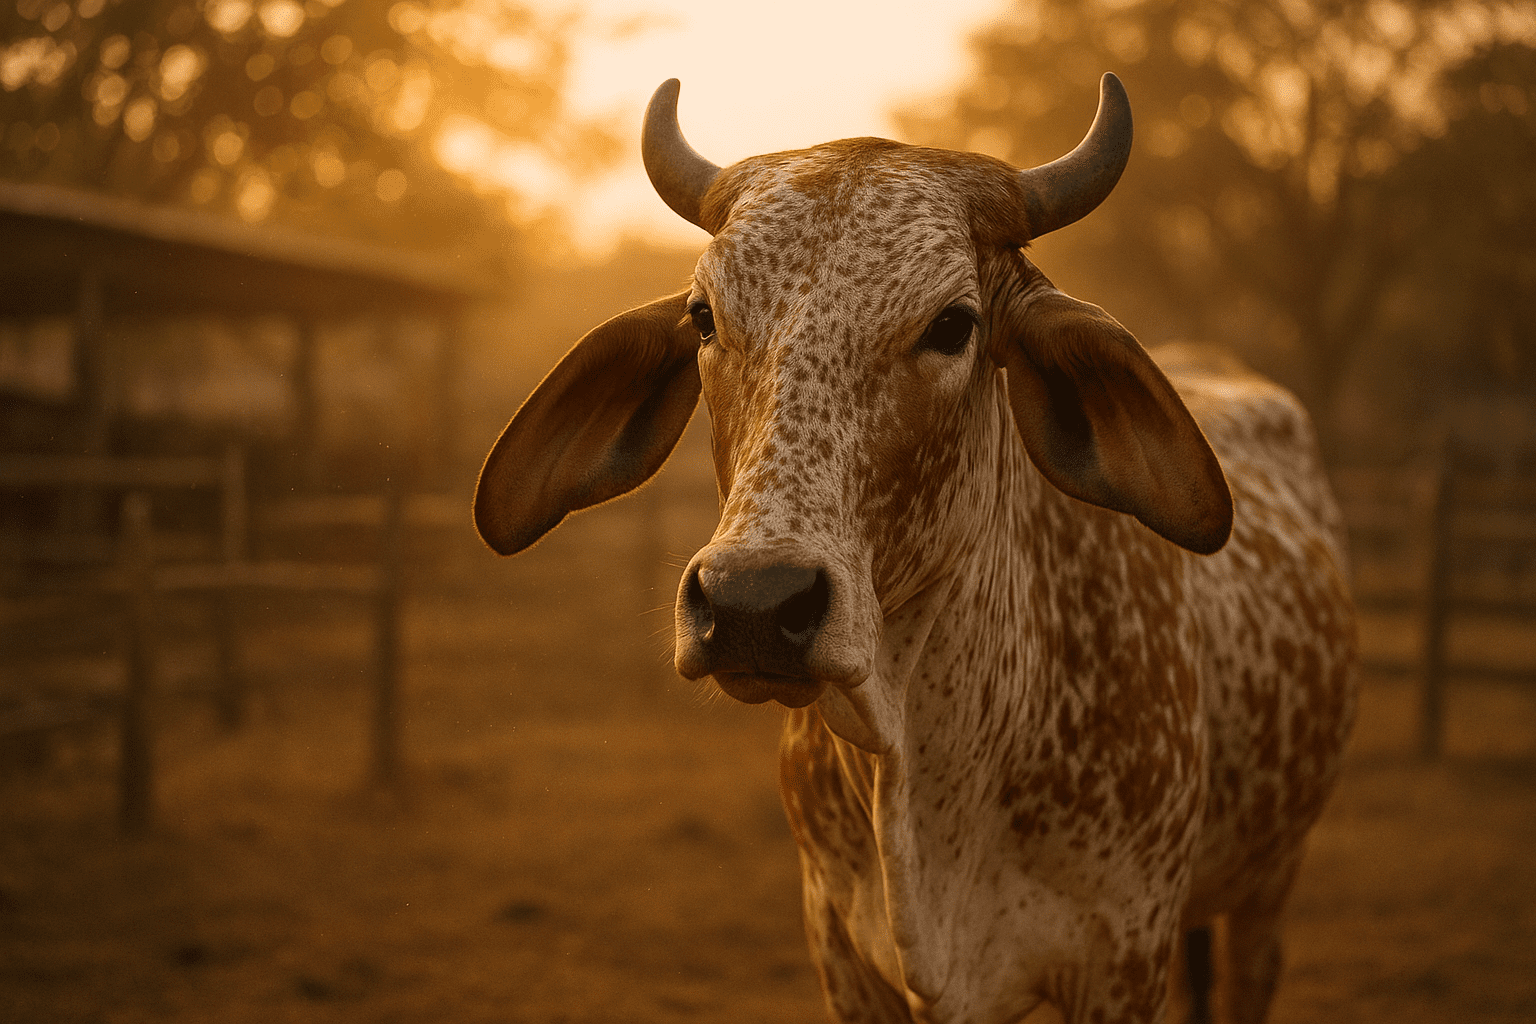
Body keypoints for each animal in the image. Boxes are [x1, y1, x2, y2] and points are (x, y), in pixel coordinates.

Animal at [474, 75, 1357, 1024]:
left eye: (953, 325)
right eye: (703, 318)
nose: (754, 604)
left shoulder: (1122, 956)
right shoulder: (841, 948)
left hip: (1267, 882)